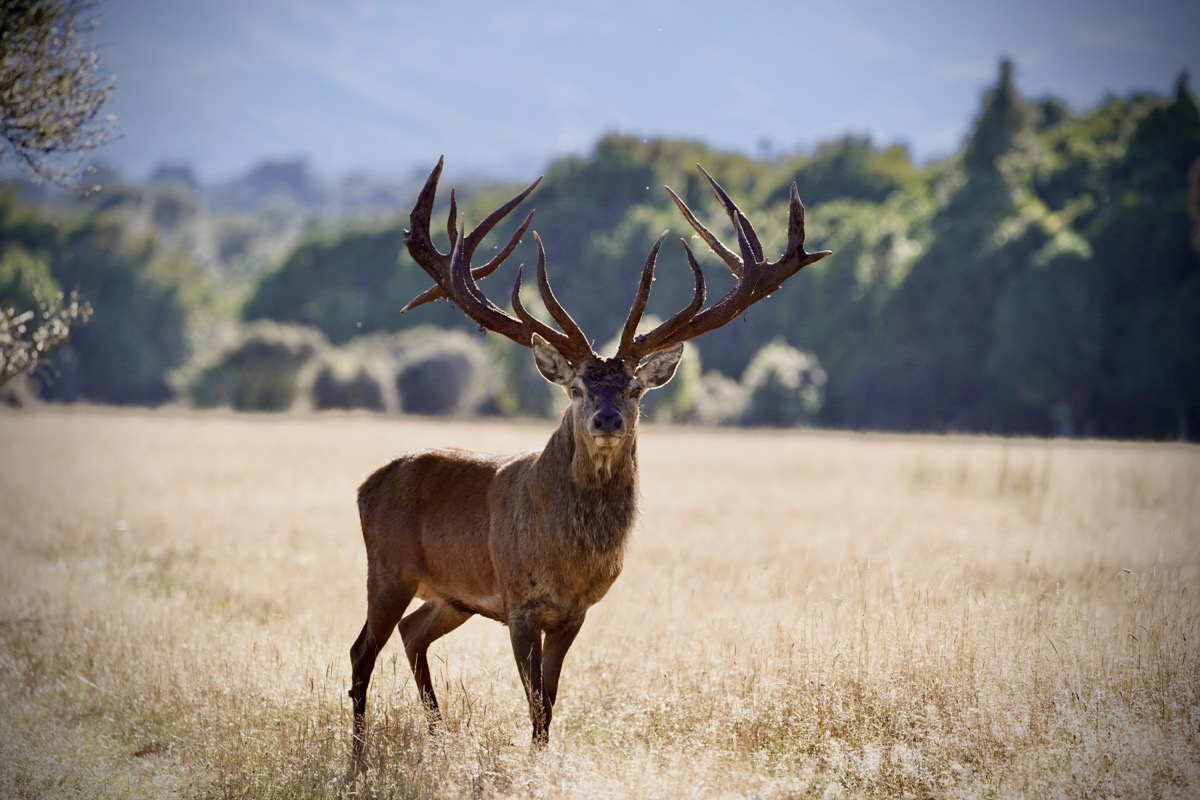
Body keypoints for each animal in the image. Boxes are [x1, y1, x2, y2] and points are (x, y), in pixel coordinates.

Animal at [348, 156, 831, 751]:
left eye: (634, 388)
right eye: (576, 387)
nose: (607, 420)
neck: (569, 556)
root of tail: (364, 486)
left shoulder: (574, 613)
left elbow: (549, 704)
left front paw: (541, 756)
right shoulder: (519, 603)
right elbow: (535, 700)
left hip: (451, 595)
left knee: (412, 633)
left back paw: (436, 733)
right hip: (387, 568)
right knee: (362, 650)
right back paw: (359, 755)